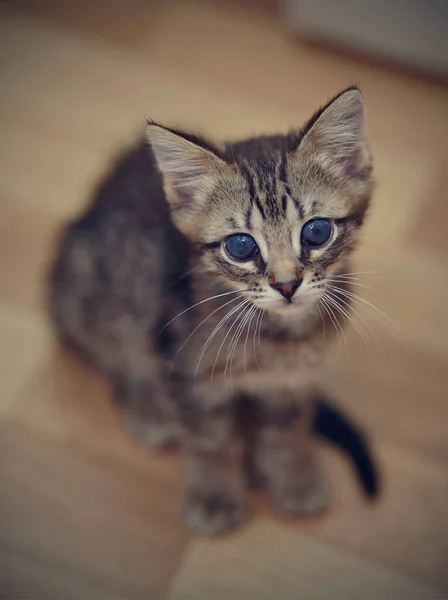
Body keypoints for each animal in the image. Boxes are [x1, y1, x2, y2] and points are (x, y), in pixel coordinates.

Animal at [49, 85, 378, 536]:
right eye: (240, 246)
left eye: (316, 231)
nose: (287, 284)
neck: (279, 338)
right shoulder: (184, 369)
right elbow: (210, 441)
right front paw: (214, 494)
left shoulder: (296, 377)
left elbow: (289, 428)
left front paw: (293, 475)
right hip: (93, 292)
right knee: (118, 357)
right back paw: (149, 409)